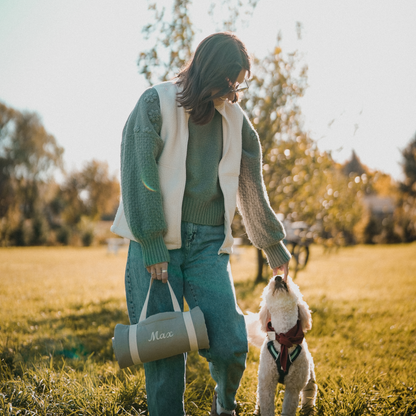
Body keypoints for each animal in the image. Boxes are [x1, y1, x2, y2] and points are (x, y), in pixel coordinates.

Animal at [245, 274, 316, 414]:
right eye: (269, 283)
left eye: (290, 280)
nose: (278, 277)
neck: (284, 336)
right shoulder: (267, 383)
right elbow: (267, 406)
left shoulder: (293, 387)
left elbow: (289, 408)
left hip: (309, 376)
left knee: (309, 393)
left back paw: (308, 409)